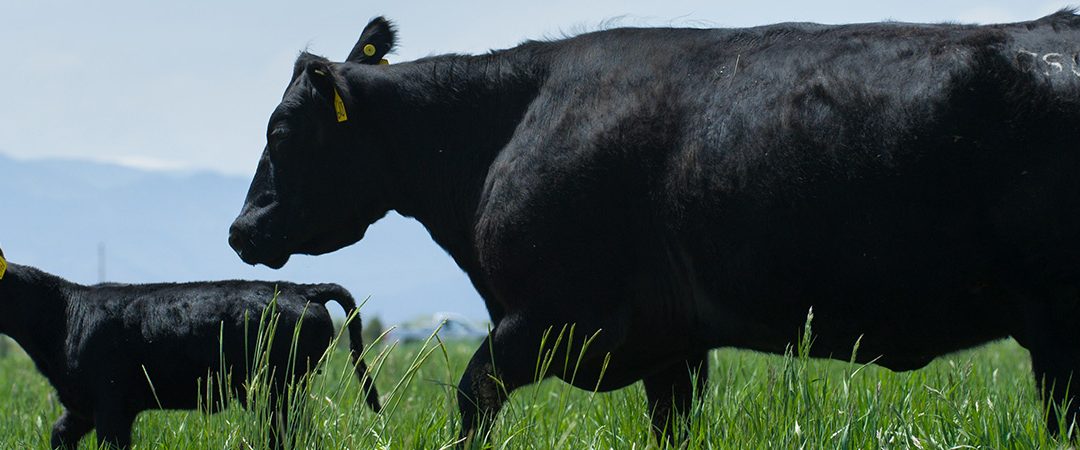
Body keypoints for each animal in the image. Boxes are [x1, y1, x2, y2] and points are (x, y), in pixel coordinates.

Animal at [0, 248, 380, 449]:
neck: (64, 318)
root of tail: (301, 288)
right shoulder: (80, 405)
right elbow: (58, 433)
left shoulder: (111, 406)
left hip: (278, 391)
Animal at [229, 10, 1080, 444]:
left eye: (280, 132)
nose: (241, 231)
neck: (504, 131)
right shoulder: (672, 348)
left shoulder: (546, 318)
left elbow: (471, 400)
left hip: (1057, 324)